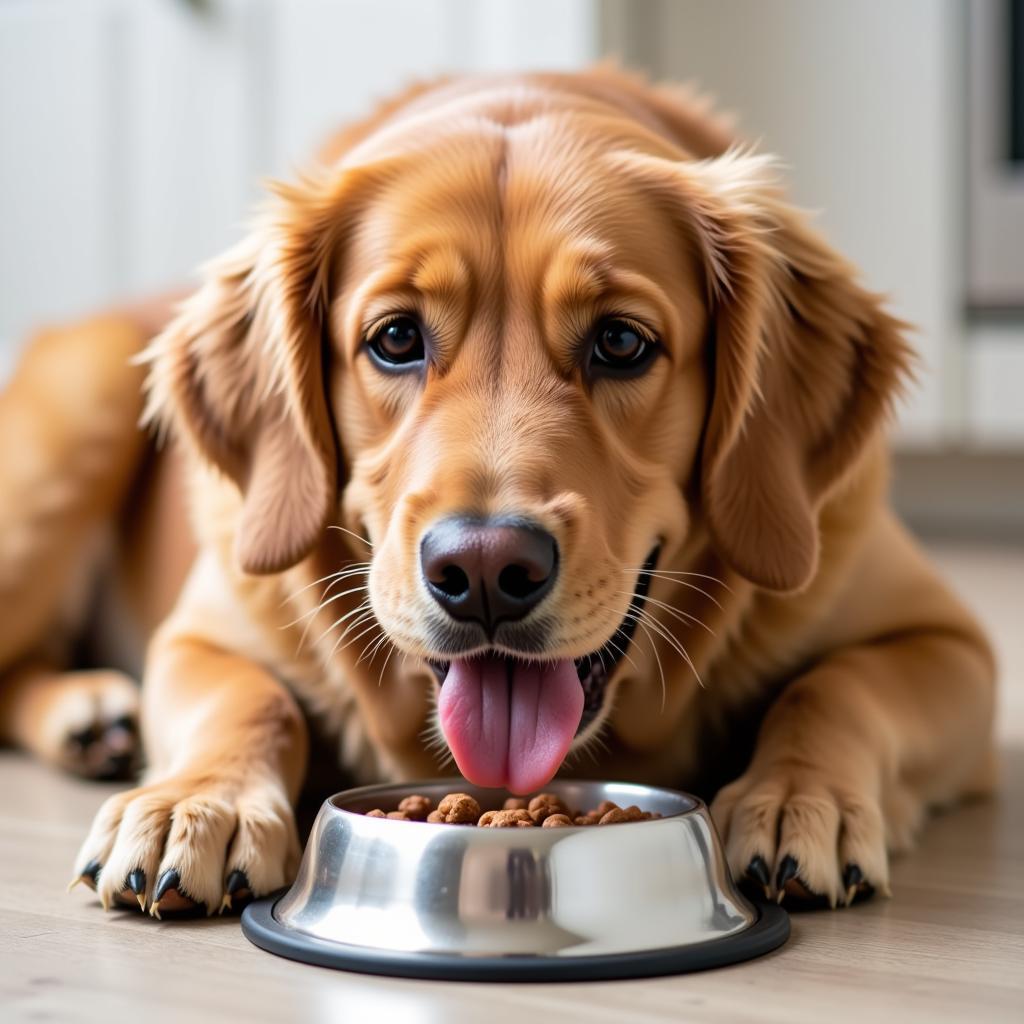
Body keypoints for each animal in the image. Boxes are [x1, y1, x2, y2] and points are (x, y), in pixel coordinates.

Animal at [0, 70, 991, 921]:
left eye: (622, 342)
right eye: (395, 338)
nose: (481, 570)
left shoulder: (955, 648)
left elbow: (838, 686)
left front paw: (798, 799)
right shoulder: (204, 630)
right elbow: (249, 698)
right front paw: (194, 805)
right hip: (72, 424)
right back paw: (96, 716)